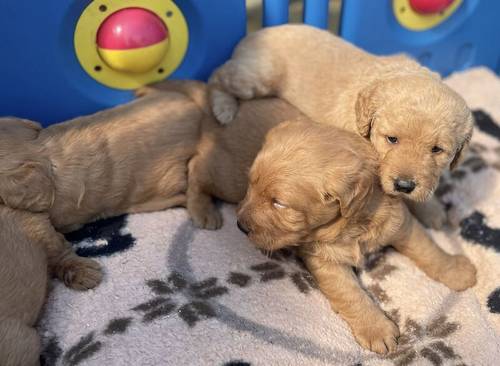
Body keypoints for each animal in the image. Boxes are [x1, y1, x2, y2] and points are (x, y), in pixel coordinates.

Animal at [209, 22, 474, 229]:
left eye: (437, 150)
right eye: (392, 139)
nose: (404, 185)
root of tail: (252, 34)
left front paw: (433, 211)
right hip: (258, 76)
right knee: (218, 74)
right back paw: (223, 108)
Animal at [235, 121, 476, 354]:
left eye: (279, 204)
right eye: (250, 184)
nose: (240, 226)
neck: (353, 224)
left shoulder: (400, 223)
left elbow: (426, 249)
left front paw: (456, 271)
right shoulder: (324, 258)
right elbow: (349, 293)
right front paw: (376, 329)